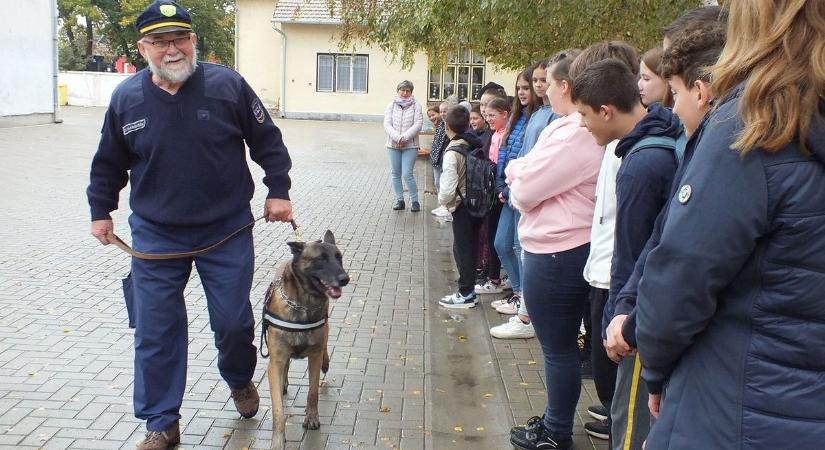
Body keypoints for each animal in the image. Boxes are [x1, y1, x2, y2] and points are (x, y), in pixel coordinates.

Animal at [260, 230, 344, 450]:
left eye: (339, 257)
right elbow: (278, 411)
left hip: (325, 328)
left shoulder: (313, 356)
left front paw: (312, 418)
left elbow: (312, 392)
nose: (345, 278)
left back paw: (326, 361)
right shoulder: (275, 362)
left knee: (325, 344)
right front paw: (278, 441)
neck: (303, 305)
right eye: (320, 259)